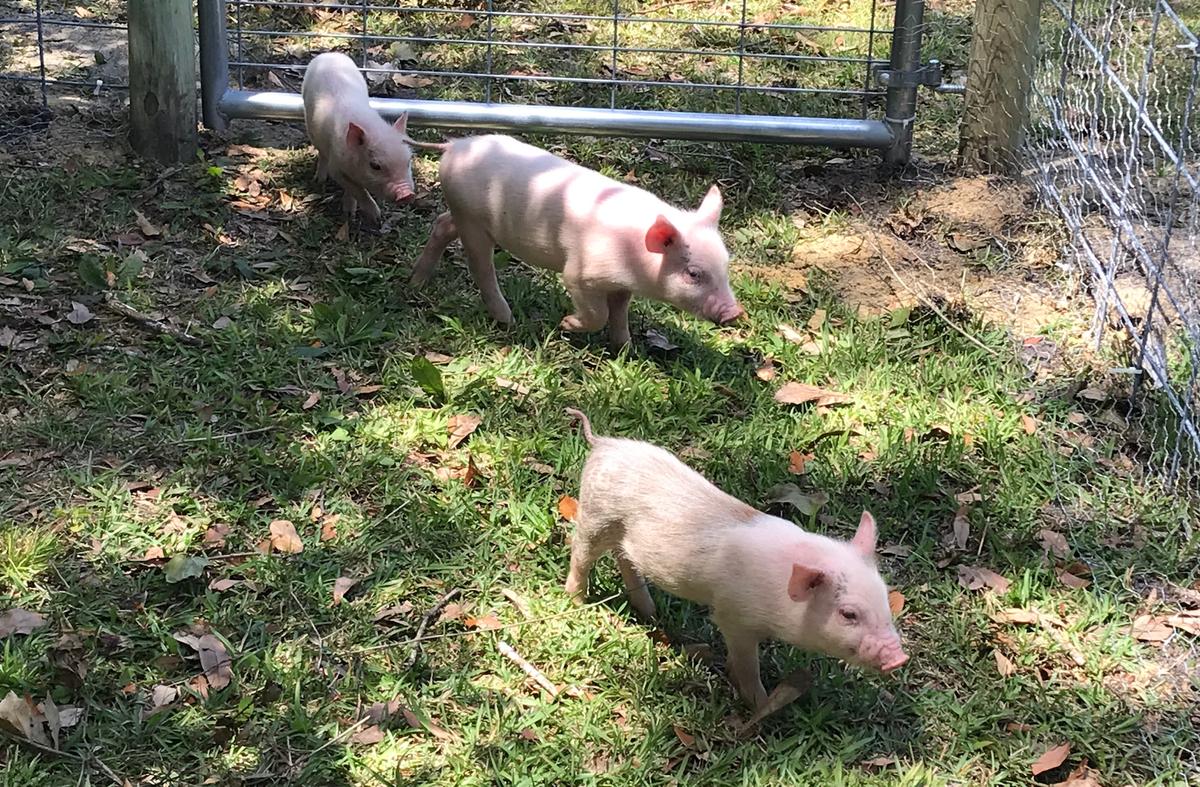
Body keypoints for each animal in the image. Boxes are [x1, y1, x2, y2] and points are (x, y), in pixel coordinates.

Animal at [301, 51, 417, 223]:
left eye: (408, 161)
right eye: (375, 166)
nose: (407, 194)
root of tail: (329, 54)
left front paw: (351, 213)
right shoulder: (336, 166)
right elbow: (357, 189)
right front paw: (374, 216)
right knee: (321, 154)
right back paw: (319, 180)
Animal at [409, 134, 743, 349]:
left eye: (726, 266)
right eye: (693, 273)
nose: (735, 312)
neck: (634, 258)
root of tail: (453, 145)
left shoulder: (621, 284)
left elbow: (619, 312)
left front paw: (625, 348)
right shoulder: (581, 274)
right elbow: (598, 313)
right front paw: (565, 325)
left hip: (462, 214)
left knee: (442, 225)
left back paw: (417, 282)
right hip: (474, 222)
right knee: (480, 266)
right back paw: (508, 320)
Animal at [562, 408, 907, 709]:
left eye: (885, 599)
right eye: (848, 614)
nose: (899, 658)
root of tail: (603, 443)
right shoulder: (733, 615)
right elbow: (746, 664)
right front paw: (760, 703)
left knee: (625, 560)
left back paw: (651, 613)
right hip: (596, 515)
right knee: (580, 553)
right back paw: (577, 601)